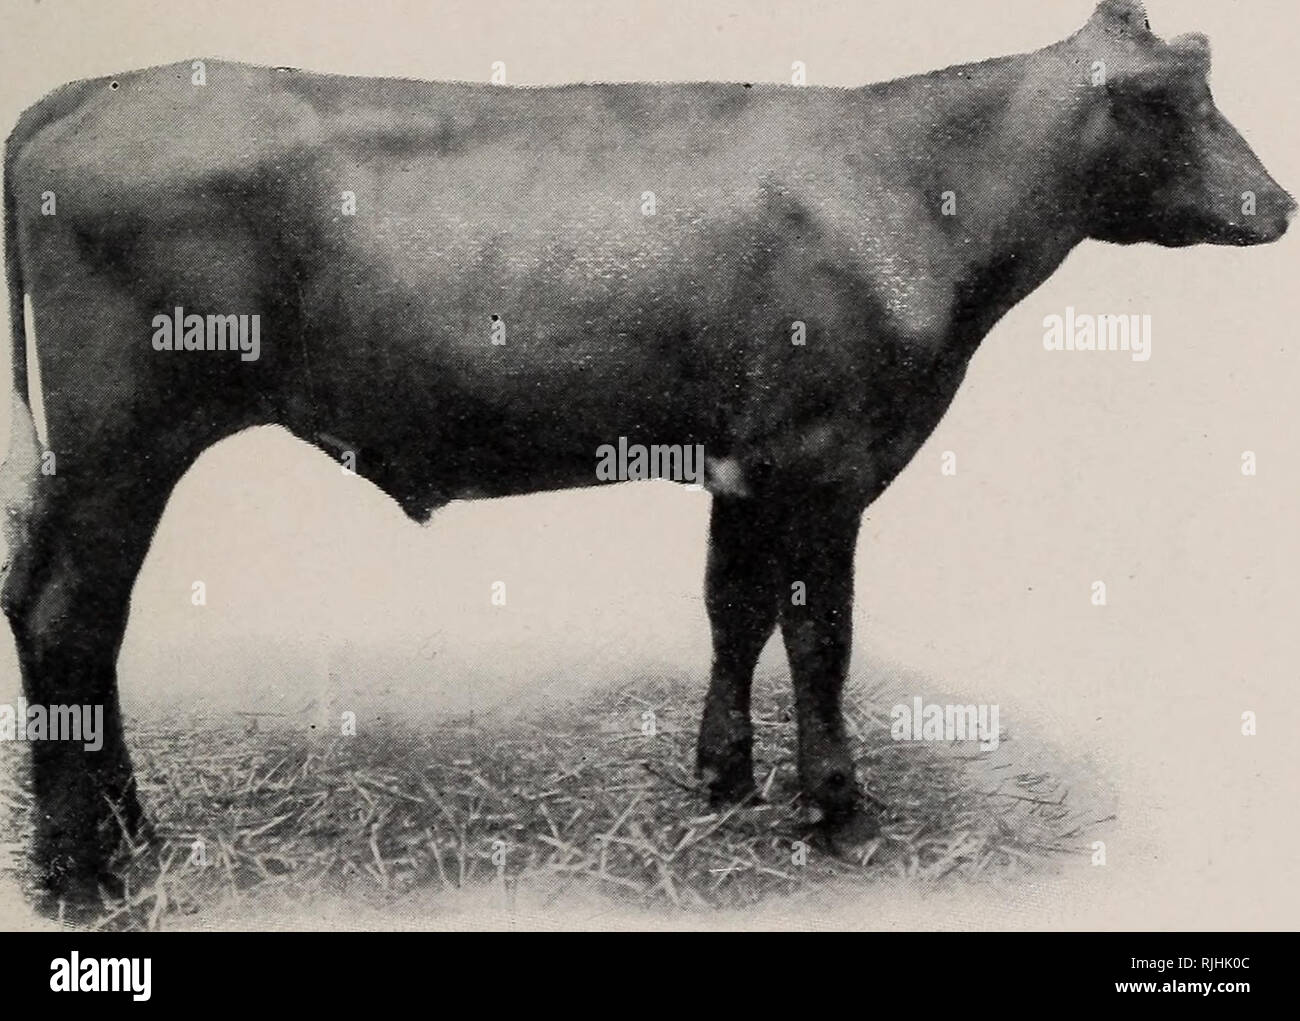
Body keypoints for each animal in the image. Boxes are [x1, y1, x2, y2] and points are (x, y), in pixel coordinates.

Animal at [0, 0, 1292, 912]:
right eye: (1184, 103)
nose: (1277, 204)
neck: (920, 189)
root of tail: (87, 94)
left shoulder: (747, 462)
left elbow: (735, 607)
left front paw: (722, 779)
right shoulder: (829, 460)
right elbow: (820, 635)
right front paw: (839, 810)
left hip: (89, 456)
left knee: (52, 606)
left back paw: (132, 833)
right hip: (124, 437)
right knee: (71, 612)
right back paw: (83, 872)